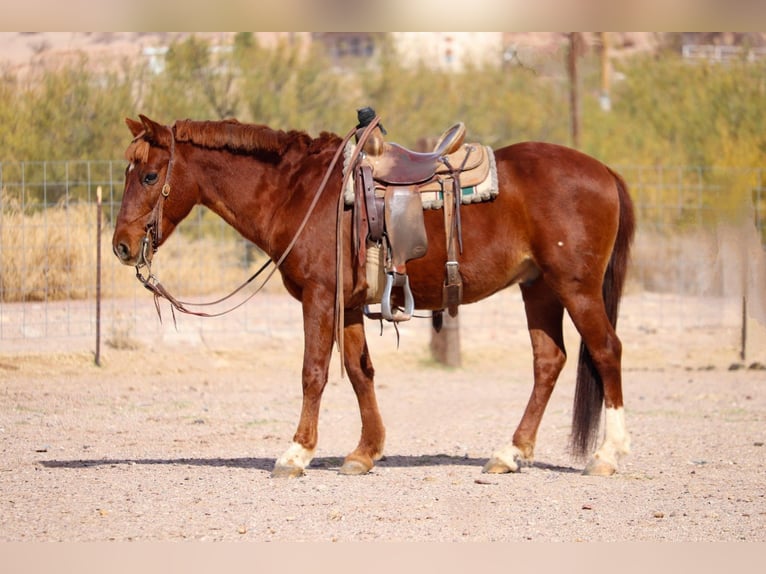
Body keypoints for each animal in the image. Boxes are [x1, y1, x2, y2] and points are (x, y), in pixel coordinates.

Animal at [109, 115, 636, 480]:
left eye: (150, 176)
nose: (121, 245)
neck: (298, 193)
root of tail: (605, 171)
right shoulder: (346, 305)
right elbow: (359, 371)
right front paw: (365, 453)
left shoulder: (319, 297)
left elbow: (314, 372)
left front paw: (296, 453)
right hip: (539, 287)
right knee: (549, 361)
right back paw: (511, 453)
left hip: (575, 287)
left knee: (606, 351)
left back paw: (606, 455)